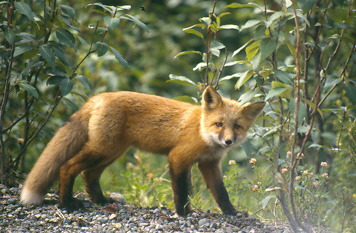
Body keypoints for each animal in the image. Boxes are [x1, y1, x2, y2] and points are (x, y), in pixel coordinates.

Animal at [19, 86, 264, 216]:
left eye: (237, 126)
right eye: (219, 124)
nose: (228, 142)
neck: (202, 131)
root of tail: (100, 96)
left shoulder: (209, 164)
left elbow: (221, 193)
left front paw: (232, 213)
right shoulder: (178, 158)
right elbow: (181, 191)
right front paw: (183, 213)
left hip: (111, 152)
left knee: (89, 174)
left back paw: (101, 200)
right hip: (102, 149)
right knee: (67, 167)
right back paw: (67, 203)